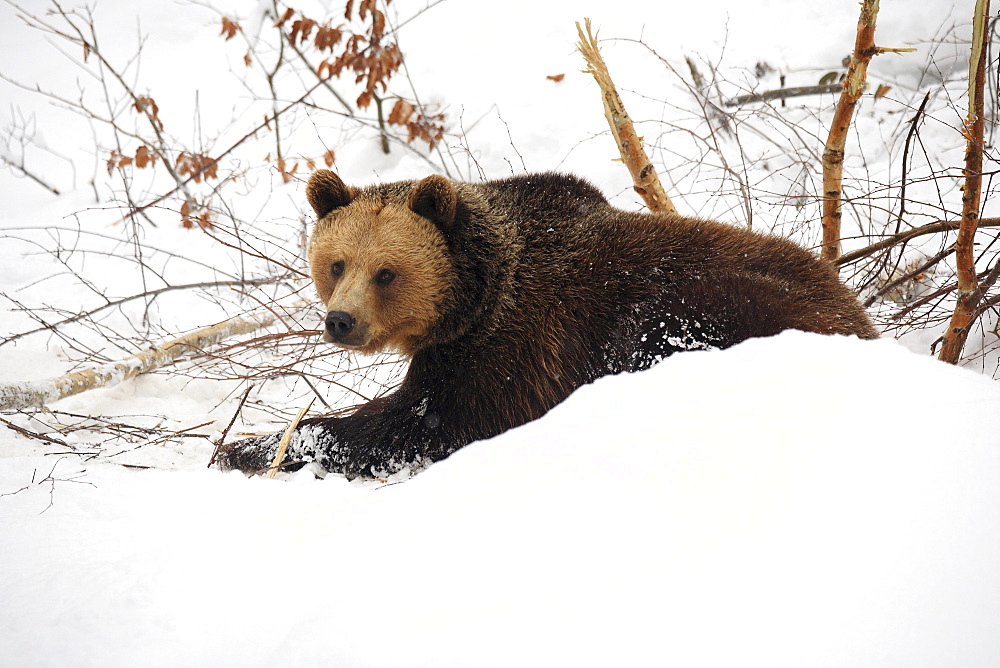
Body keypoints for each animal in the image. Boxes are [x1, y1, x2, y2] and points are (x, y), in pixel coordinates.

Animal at [217, 170, 876, 478]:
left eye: (386, 271)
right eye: (336, 263)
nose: (341, 321)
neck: (474, 298)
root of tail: (859, 316)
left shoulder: (515, 345)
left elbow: (417, 425)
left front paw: (245, 446)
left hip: (717, 302)